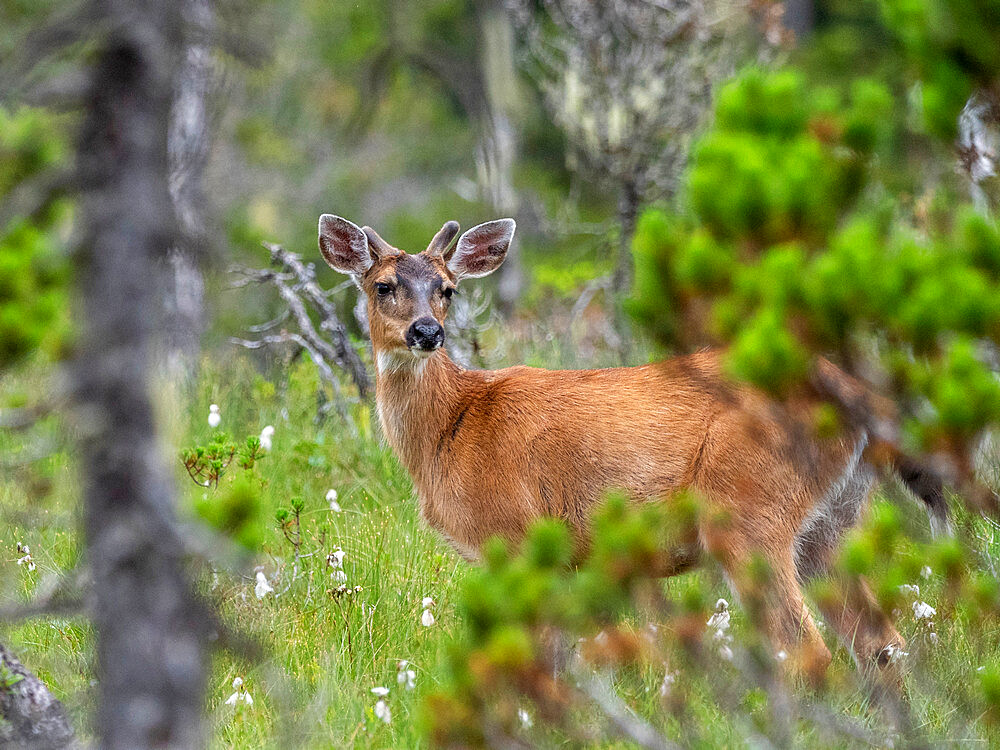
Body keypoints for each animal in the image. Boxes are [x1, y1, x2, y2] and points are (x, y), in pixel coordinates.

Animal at [318, 213, 944, 680]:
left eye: (448, 289)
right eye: (383, 286)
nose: (427, 331)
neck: (454, 426)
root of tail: (860, 399)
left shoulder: (516, 533)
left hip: (747, 509)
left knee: (808, 648)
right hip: (830, 525)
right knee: (883, 645)